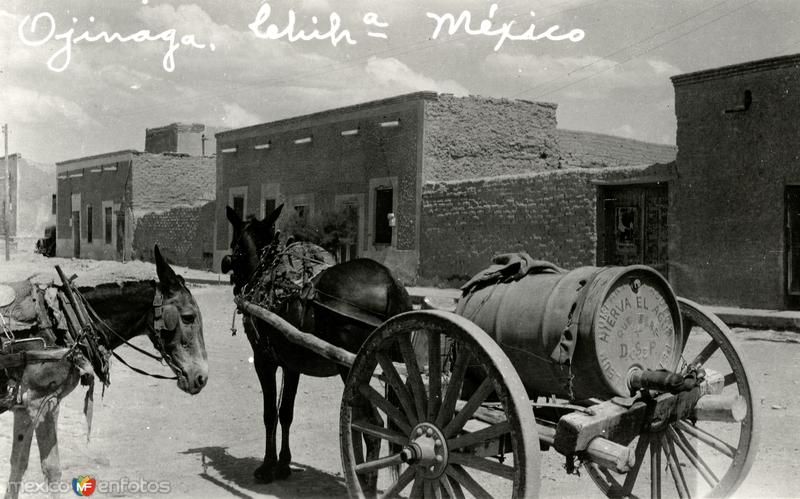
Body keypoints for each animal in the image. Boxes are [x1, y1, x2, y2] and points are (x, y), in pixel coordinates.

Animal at [1, 247, 208, 499]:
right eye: (188, 317)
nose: (201, 377)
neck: (64, 319)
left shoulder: (24, 406)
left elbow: (18, 465)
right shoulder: (41, 402)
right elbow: (51, 470)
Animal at [220, 204, 412, 484]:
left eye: (234, 243)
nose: (230, 271)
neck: (266, 272)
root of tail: (389, 281)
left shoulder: (264, 360)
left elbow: (269, 413)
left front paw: (267, 466)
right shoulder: (292, 364)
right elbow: (286, 412)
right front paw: (283, 464)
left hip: (352, 367)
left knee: (373, 427)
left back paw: (365, 480)